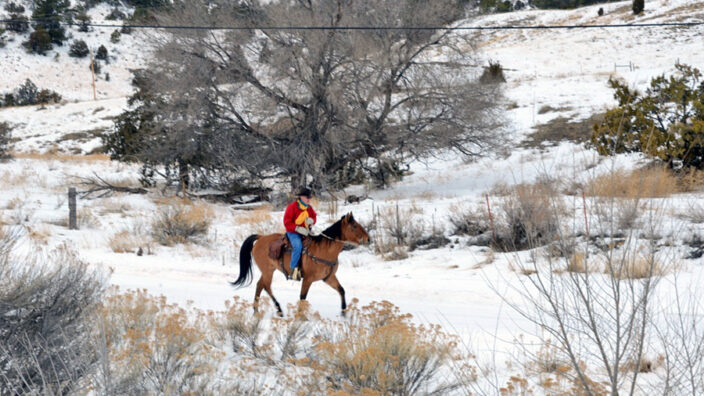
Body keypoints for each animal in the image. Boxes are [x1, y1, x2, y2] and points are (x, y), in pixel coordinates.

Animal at [234, 212, 372, 318]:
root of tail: (261, 237)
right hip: (267, 271)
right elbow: (303, 297)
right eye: (354, 226)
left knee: (260, 285)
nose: (368, 239)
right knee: (266, 286)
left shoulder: (329, 278)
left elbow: (341, 290)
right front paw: (301, 317)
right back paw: (278, 310)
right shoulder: (308, 279)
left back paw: (256, 310)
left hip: (268, 270)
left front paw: (344, 313)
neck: (324, 250)